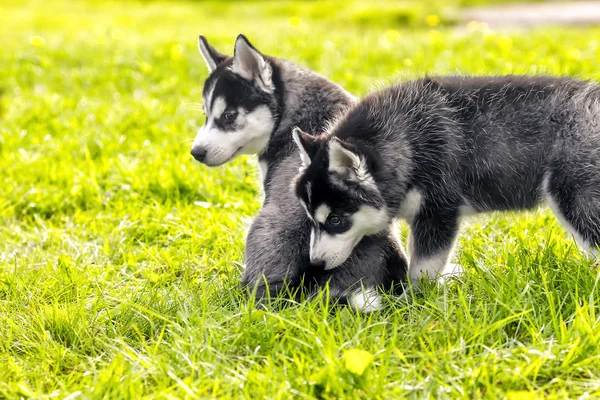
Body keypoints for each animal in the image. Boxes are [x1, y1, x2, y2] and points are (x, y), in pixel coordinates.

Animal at [292, 75, 600, 282]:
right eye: (311, 219)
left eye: (335, 220)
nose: (315, 264)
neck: (407, 140)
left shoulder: (438, 212)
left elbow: (422, 270)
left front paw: (416, 305)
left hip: (575, 196)